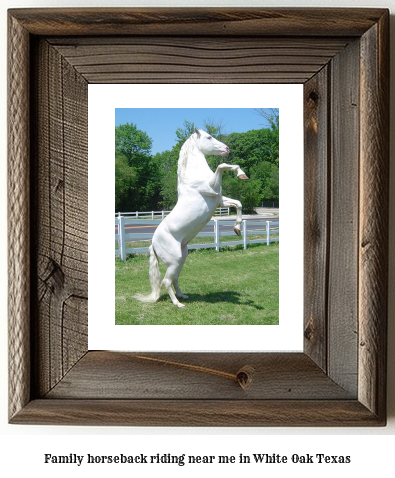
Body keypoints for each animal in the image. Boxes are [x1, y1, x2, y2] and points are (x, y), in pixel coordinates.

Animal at [135, 127, 249, 308]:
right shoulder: (213, 189)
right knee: (166, 281)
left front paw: (237, 228)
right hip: (174, 260)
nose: (227, 149)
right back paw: (178, 304)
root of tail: (153, 243)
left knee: (174, 278)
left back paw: (183, 296)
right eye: (209, 137)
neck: (194, 177)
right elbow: (221, 166)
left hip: (182, 257)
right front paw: (241, 173)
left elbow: (238, 204)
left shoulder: (219, 200)